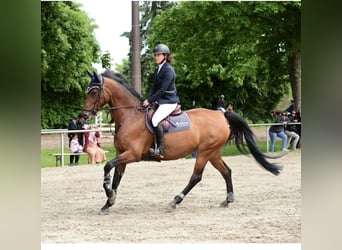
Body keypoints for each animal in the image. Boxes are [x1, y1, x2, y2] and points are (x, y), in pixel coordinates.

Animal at [82, 69, 280, 214]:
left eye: (94, 91)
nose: (83, 116)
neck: (130, 116)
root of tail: (221, 115)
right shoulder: (121, 153)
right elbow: (117, 177)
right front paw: (108, 203)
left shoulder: (133, 154)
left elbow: (107, 167)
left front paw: (109, 194)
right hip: (213, 152)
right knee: (226, 171)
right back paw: (228, 199)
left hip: (204, 152)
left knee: (196, 177)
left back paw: (176, 200)